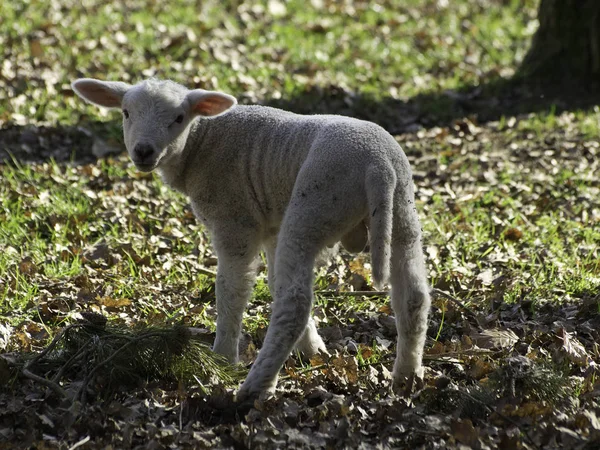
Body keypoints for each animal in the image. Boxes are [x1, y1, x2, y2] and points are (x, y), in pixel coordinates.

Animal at [71, 77, 432, 400]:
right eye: (126, 113)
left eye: (178, 118)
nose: (143, 151)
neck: (200, 143)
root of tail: (378, 169)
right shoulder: (271, 224)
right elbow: (273, 282)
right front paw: (313, 349)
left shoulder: (235, 221)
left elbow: (232, 290)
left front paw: (222, 359)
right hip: (402, 209)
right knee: (413, 295)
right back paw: (406, 378)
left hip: (315, 205)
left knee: (295, 302)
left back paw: (254, 387)